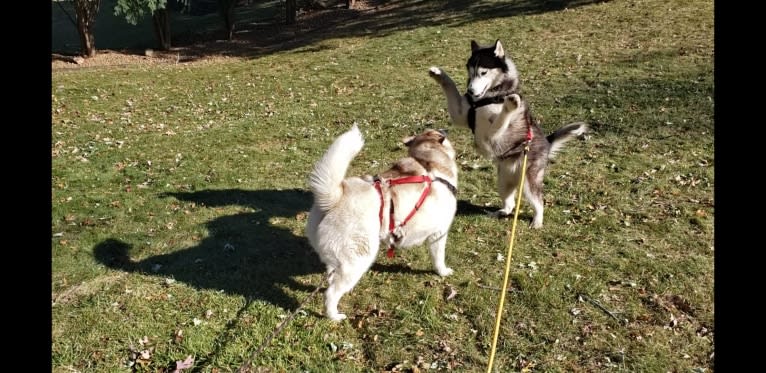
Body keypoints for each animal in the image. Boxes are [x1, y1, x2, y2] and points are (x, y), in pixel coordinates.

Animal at [308, 125, 462, 320]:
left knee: (330, 278)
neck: (428, 162)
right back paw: (334, 315)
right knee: (331, 293)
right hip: (357, 260)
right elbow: (438, 258)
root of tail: (334, 199)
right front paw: (442, 272)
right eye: (436, 131)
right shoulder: (439, 234)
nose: (445, 129)